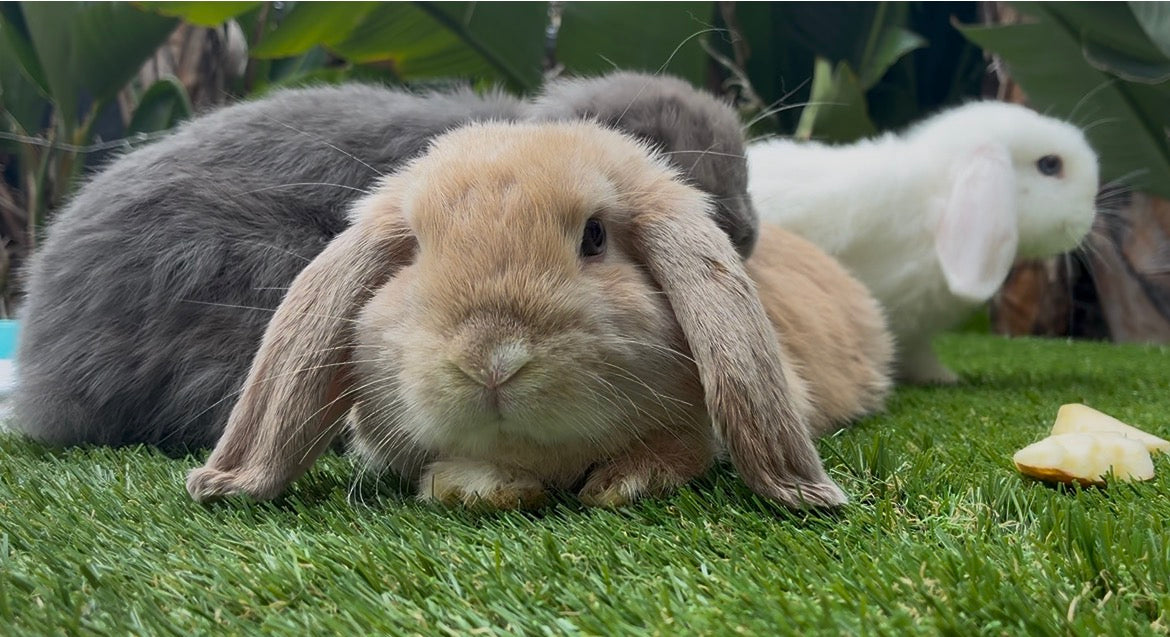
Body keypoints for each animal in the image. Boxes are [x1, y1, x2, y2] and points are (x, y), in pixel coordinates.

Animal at [185, 120, 892, 511]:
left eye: (595, 237)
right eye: (415, 248)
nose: (490, 359)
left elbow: (682, 447)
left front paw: (622, 484)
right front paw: (484, 489)